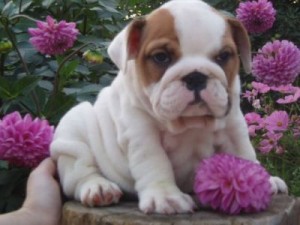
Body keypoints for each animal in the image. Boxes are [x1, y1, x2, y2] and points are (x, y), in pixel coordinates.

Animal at [50, 0, 288, 214]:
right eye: (161, 57)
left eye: (223, 56)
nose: (196, 76)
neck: (190, 122)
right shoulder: (141, 132)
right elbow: (154, 162)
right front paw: (165, 197)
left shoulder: (233, 126)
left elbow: (244, 153)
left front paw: (260, 181)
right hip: (74, 127)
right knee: (79, 172)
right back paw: (99, 187)